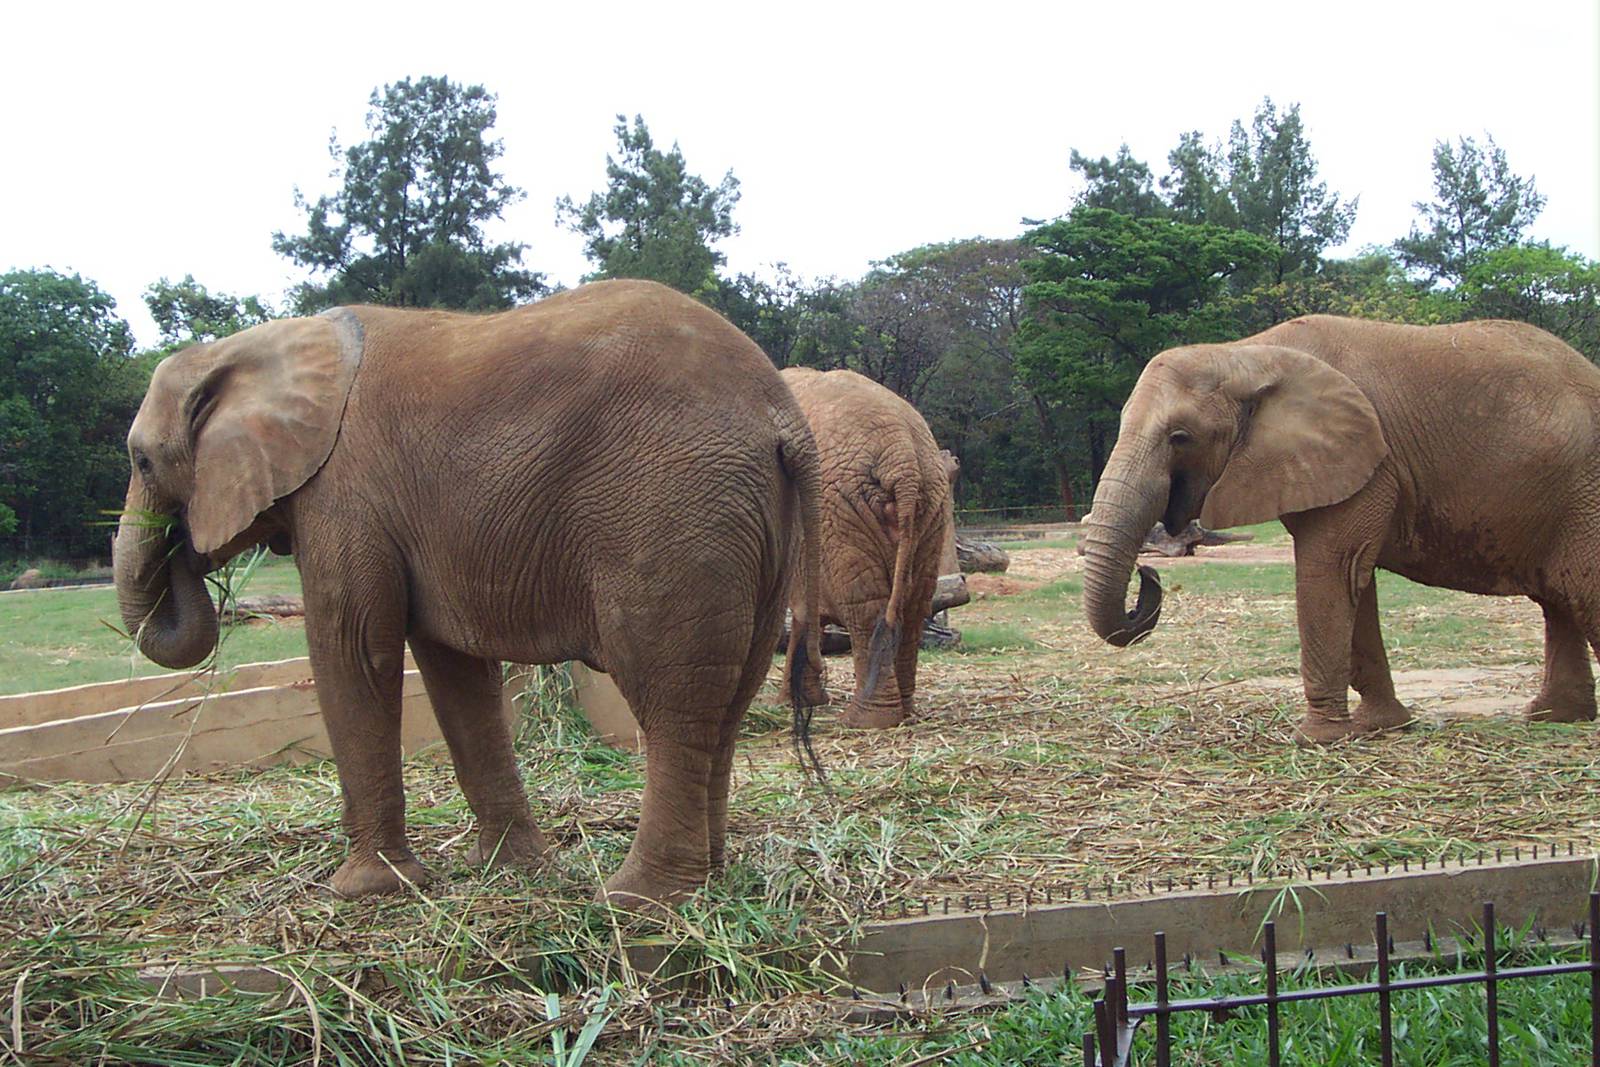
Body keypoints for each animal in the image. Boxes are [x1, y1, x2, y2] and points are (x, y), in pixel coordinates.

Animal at [113, 279, 824, 906]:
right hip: (752, 525)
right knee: (729, 697)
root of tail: (784, 414)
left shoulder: (345, 493)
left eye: (142, 460)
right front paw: (511, 869)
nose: (186, 549)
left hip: (672, 509)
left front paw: (366, 891)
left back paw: (637, 902)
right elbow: (454, 670)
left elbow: (354, 650)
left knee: (671, 697)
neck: (265, 343)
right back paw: (709, 880)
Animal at [778, 368, 952, 728]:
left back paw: (863, 720)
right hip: (932, 506)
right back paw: (903, 711)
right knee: (914, 606)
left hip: (840, 510)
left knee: (866, 606)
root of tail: (903, 458)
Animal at [1081, 315, 1600, 743]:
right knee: (1559, 599)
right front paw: (1381, 727)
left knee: (1581, 591)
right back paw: (1553, 718)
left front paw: (1317, 740)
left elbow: (1328, 571)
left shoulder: (1369, 462)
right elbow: (1355, 581)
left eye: (1180, 437)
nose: (1149, 575)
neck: (1246, 353)